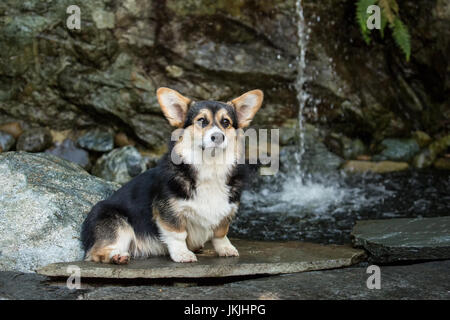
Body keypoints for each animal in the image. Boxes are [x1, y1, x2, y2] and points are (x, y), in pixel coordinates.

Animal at [81, 87, 264, 262]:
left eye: (226, 122)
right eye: (202, 120)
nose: (218, 137)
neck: (210, 167)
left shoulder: (226, 212)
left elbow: (220, 233)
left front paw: (226, 248)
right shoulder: (169, 212)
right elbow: (177, 234)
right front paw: (182, 254)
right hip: (118, 223)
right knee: (97, 252)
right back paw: (117, 256)